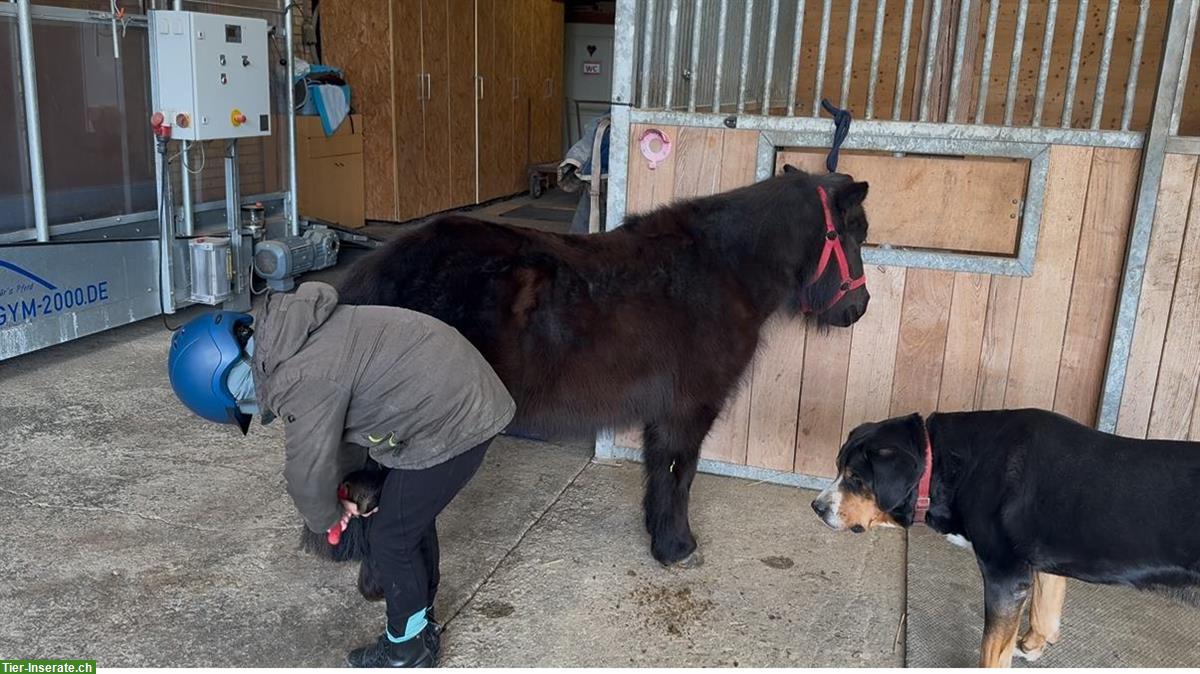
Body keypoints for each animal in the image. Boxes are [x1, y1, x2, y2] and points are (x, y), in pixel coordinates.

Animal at [328, 164, 873, 566]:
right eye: (856, 234)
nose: (860, 307)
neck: (722, 272)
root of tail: (389, 266)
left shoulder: (665, 413)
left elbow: (659, 470)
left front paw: (659, 534)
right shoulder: (690, 410)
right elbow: (680, 473)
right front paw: (677, 548)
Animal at [811, 407, 1195, 662]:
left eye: (856, 479)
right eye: (838, 469)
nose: (817, 506)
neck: (954, 464)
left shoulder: (1004, 576)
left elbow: (992, 649)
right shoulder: (1037, 564)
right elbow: (1045, 608)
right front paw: (1035, 643)